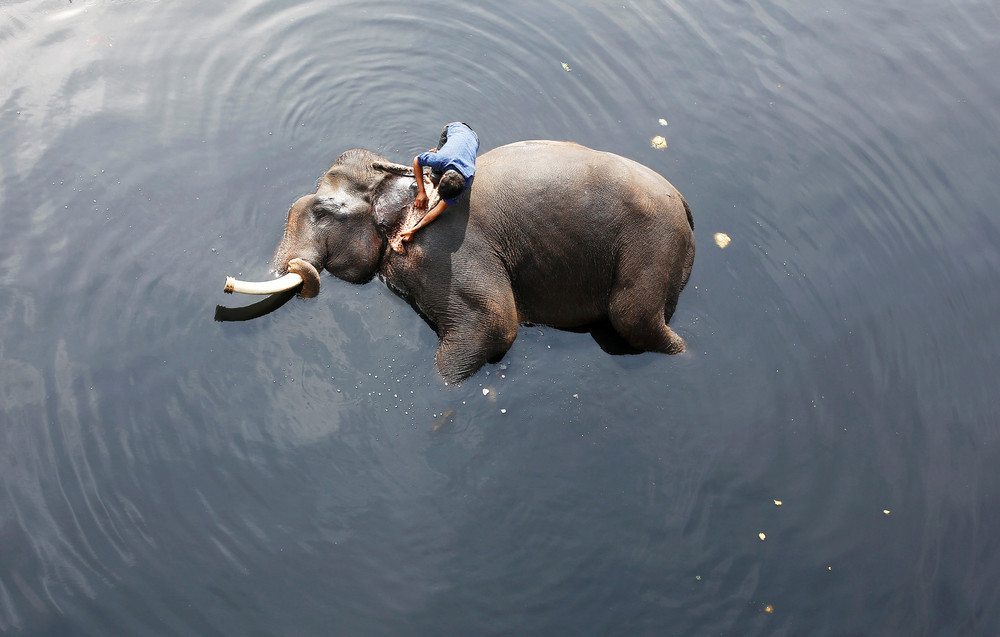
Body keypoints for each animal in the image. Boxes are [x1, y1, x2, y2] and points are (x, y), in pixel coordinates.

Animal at [264, 140, 696, 382]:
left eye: (321, 212)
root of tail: (684, 203)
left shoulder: (445, 251)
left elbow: (495, 325)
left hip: (652, 245)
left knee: (633, 319)